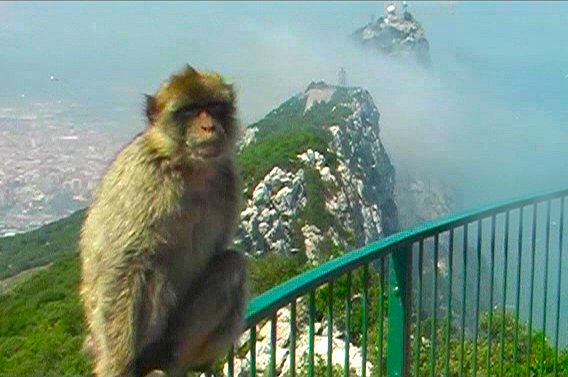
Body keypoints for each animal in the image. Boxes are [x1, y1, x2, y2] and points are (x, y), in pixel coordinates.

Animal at [79, 65, 246, 376]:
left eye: (213, 107)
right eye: (189, 110)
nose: (208, 127)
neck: (190, 169)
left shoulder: (228, 178)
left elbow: (220, 253)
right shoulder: (144, 175)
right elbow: (122, 265)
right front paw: (119, 368)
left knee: (231, 265)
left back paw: (171, 356)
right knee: (149, 269)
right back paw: (144, 360)